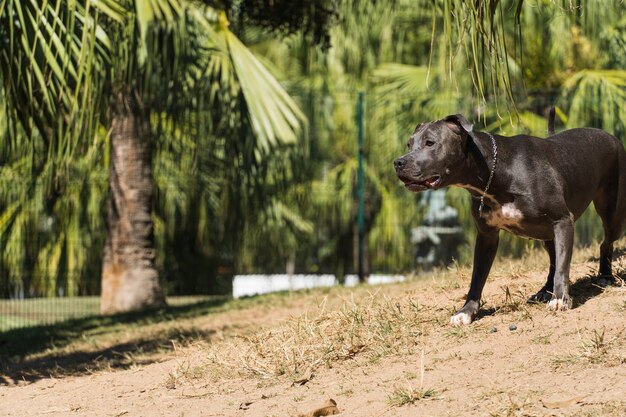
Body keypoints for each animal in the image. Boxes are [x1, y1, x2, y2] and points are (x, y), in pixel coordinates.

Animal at [392, 114, 624, 324]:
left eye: (430, 142)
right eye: (409, 144)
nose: (398, 162)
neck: (496, 173)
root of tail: (610, 135)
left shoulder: (563, 220)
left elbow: (562, 267)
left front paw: (560, 299)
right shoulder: (486, 237)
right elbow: (477, 278)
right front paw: (466, 312)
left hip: (612, 213)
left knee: (604, 243)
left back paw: (605, 276)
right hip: (547, 233)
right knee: (553, 259)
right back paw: (544, 291)